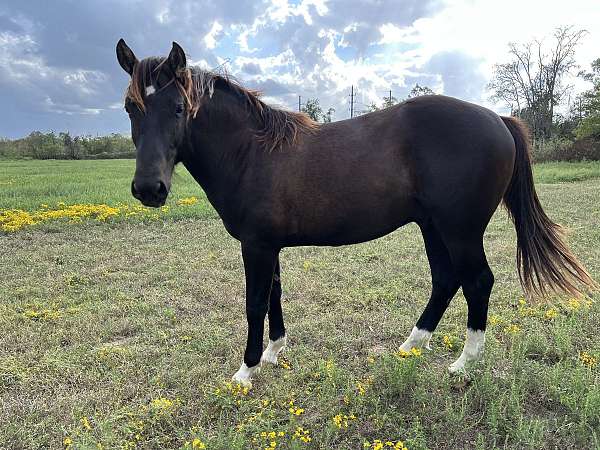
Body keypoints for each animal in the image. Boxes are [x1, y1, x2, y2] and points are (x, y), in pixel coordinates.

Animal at [116, 40, 596, 386]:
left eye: (179, 107)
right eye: (131, 108)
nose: (149, 189)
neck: (251, 153)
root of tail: (498, 119)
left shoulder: (255, 246)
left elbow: (255, 303)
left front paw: (245, 371)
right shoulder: (268, 246)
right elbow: (274, 297)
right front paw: (274, 352)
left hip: (460, 230)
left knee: (477, 281)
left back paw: (464, 363)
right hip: (433, 227)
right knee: (446, 280)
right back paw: (412, 344)